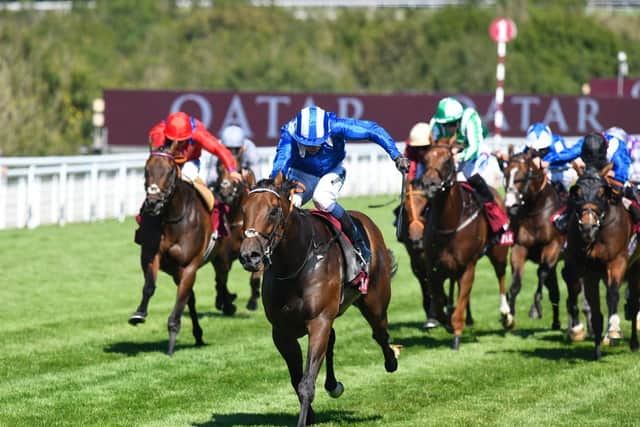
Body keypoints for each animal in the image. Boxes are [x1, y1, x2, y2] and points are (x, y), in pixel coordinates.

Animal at [129, 149, 221, 356]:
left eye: (170, 171)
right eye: (146, 169)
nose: (153, 203)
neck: (172, 218)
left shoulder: (189, 266)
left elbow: (179, 303)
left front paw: (170, 347)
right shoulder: (151, 254)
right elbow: (149, 286)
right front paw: (139, 314)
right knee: (190, 298)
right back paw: (198, 334)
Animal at [240, 175, 398, 427]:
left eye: (274, 211)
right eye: (243, 209)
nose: (249, 256)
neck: (295, 263)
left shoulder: (319, 321)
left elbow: (306, 382)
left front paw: (304, 419)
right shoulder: (281, 331)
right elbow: (296, 379)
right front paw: (311, 415)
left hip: (375, 302)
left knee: (380, 333)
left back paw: (391, 360)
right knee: (335, 338)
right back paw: (333, 385)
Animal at [416, 144, 510, 352]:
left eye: (447, 161)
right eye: (425, 159)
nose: (429, 184)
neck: (449, 222)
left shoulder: (468, 268)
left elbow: (460, 303)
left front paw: (457, 333)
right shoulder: (433, 269)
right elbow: (439, 302)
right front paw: (446, 322)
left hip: (499, 252)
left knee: (500, 276)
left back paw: (506, 314)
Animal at [502, 151, 564, 332]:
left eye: (521, 178)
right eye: (506, 175)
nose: (510, 205)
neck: (536, 211)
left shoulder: (553, 246)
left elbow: (541, 272)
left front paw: (535, 309)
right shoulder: (519, 247)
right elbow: (516, 282)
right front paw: (509, 316)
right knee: (555, 292)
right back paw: (556, 323)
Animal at [564, 166, 636, 360]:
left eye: (602, 194)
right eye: (577, 193)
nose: (587, 228)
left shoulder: (618, 261)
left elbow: (612, 293)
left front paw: (614, 329)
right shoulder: (590, 271)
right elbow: (594, 310)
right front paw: (596, 350)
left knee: (635, 303)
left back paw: (634, 342)